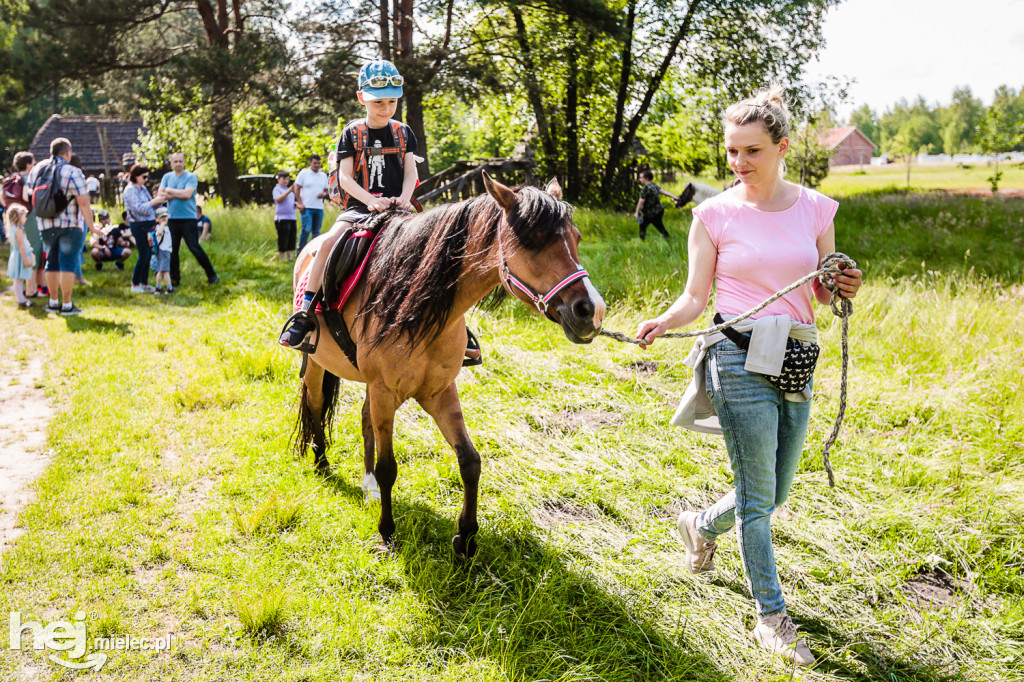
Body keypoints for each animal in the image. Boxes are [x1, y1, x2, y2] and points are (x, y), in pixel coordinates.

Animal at [292, 173, 602, 557]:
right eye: (531, 242)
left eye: (575, 238)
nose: (591, 311)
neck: (416, 303)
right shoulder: (385, 390)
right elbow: (389, 467)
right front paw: (387, 532)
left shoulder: (438, 391)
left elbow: (470, 461)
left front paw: (466, 539)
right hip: (318, 363)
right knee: (316, 404)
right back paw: (322, 462)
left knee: (363, 419)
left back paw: (368, 485)